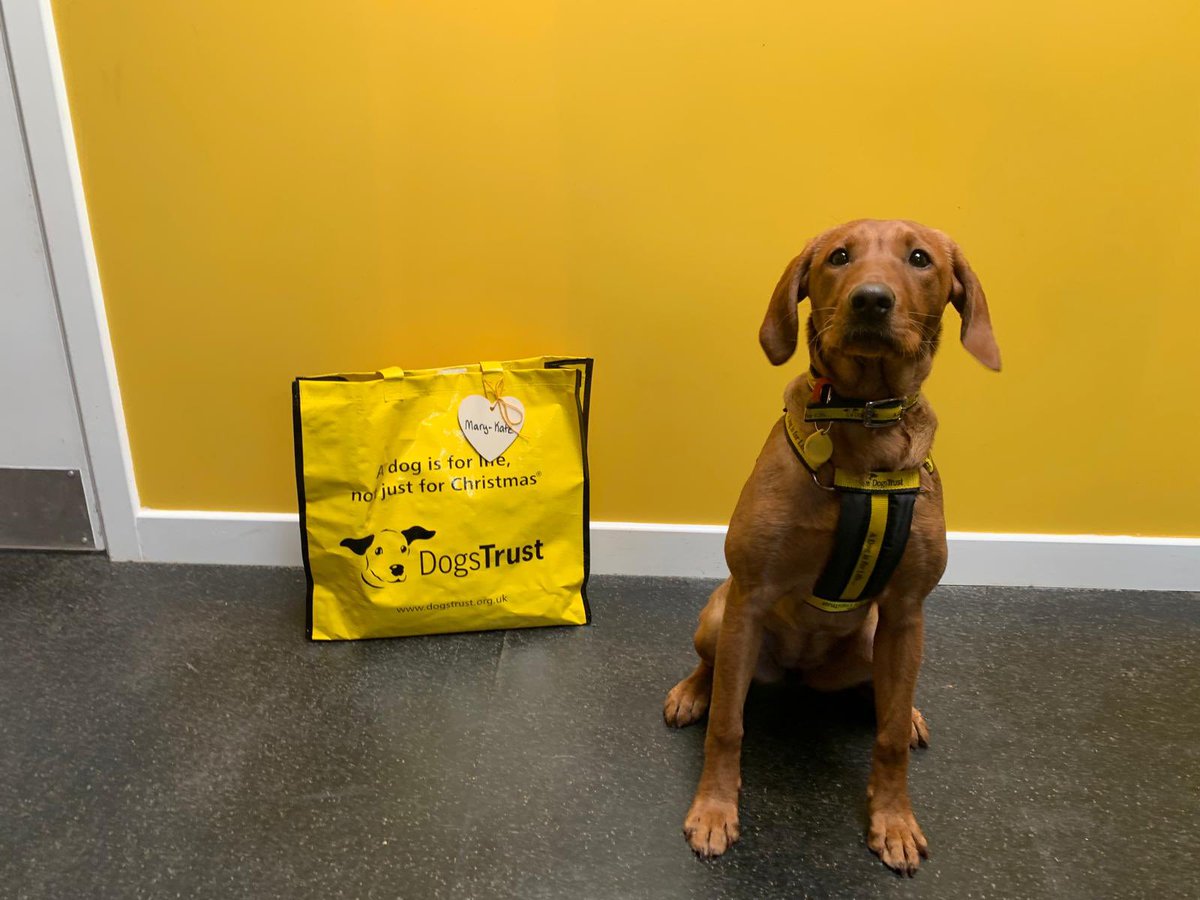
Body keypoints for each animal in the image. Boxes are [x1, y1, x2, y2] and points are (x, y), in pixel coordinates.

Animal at [667, 217, 1003, 873]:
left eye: (919, 259)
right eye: (838, 257)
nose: (870, 300)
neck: (865, 420)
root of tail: (799, 675)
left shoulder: (906, 612)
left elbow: (888, 737)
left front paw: (894, 822)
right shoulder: (749, 598)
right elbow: (728, 724)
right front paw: (714, 812)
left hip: (876, 639)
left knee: (886, 698)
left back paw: (908, 711)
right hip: (721, 617)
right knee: (713, 672)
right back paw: (691, 692)